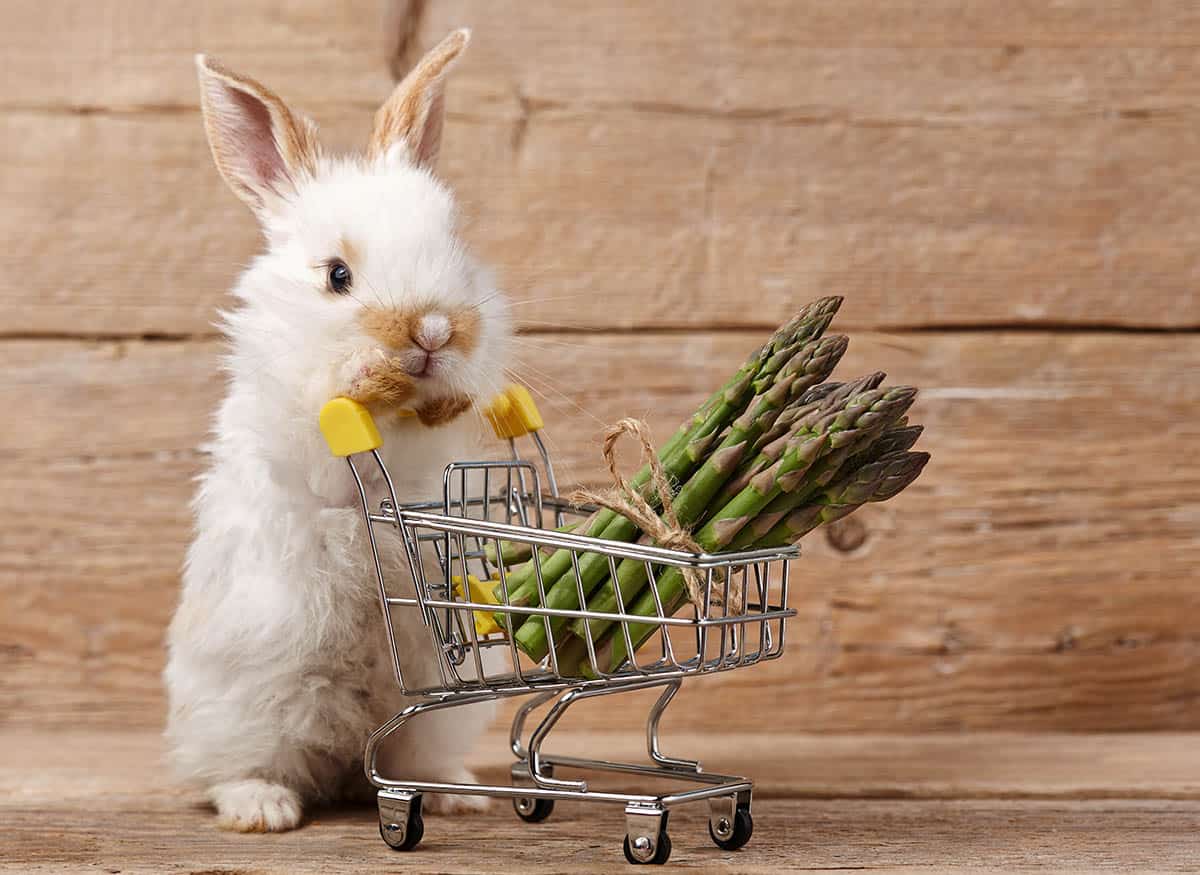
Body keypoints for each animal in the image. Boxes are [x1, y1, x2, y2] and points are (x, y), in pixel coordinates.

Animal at [163, 28, 511, 830]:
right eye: (337, 276)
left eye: (457, 251)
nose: (434, 330)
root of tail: (349, 760)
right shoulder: (305, 417)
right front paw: (369, 375)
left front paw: (442, 395)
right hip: (249, 695)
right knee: (235, 766)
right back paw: (263, 808)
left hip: (442, 700)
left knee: (410, 761)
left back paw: (460, 794)